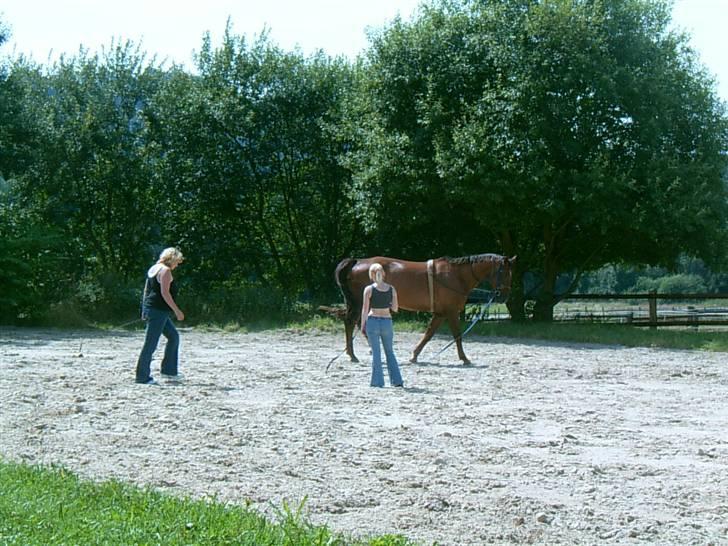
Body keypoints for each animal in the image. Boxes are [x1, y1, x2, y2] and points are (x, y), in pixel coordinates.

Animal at [336, 253, 516, 364]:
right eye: (504, 273)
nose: (504, 296)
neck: (455, 276)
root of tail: (357, 262)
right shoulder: (451, 313)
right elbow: (457, 335)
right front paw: (464, 358)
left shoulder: (440, 314)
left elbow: (428, 334)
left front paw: (414, 355)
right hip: (361, 303)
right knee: (351, 322)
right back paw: (353, 355)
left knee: (358, 324)